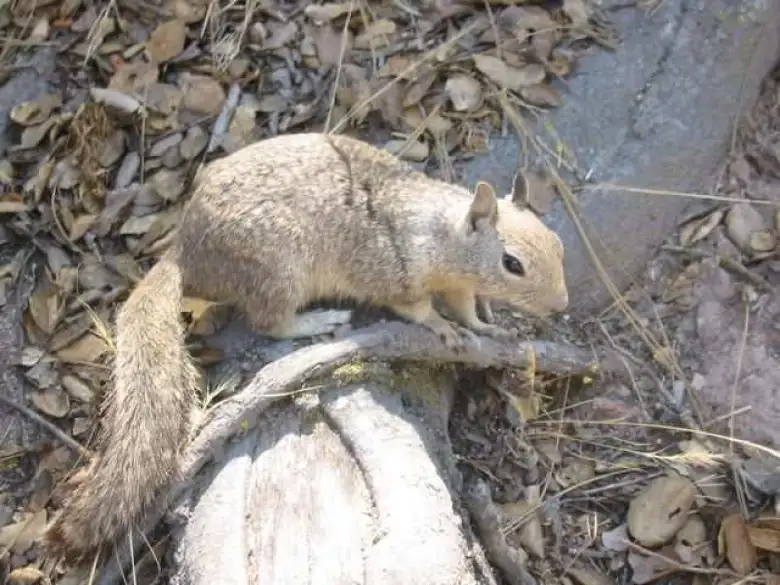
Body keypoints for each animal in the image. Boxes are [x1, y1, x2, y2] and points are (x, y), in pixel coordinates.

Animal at [43, 132, 568, 563]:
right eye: (512, 263)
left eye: (558, 243)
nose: (561, 304)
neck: (437, 233)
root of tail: (185, 254)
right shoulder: (392, 275)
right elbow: (416, 309)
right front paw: (444, 328)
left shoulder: (459, 284)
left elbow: (467, 308)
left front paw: (489, 328)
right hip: (279, 273)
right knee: (268, 323)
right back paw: (318, 320)